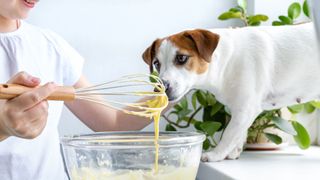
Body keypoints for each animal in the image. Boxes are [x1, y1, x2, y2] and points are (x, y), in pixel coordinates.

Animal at [142, 22, 320, 162]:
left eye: (181, 58)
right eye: (156, 63)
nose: (160, 89)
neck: (228, 60)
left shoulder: (246, 108)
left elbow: (228, 133)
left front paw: (216, 154)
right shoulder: (240, 109)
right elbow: (238, 133)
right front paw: (233, 151)